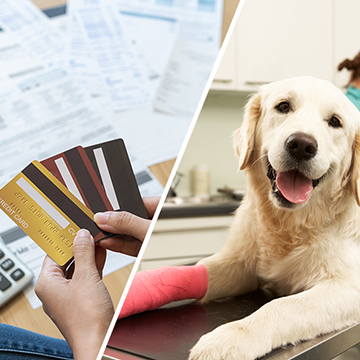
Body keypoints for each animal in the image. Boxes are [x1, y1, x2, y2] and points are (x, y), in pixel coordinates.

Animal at [190, 76, 360, 360]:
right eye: (283, 106)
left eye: (335, 121)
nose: (301, 145)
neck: (290, 224)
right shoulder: (239, 263)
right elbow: (200, 270)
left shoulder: (348, 286)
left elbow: (282, 307)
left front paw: (229, 338)